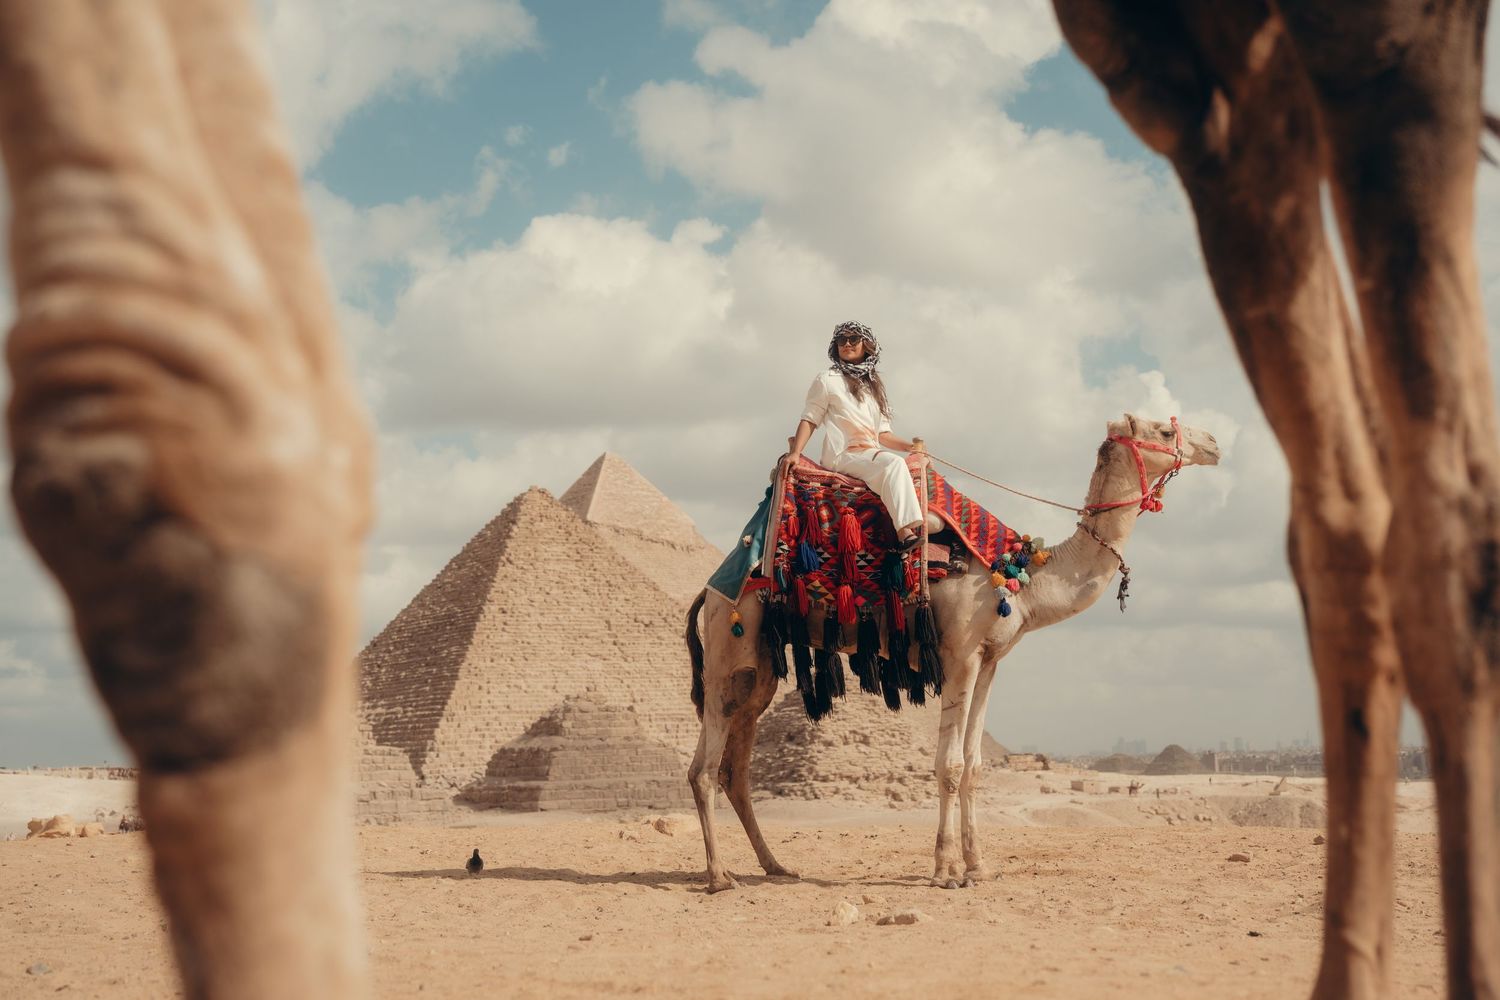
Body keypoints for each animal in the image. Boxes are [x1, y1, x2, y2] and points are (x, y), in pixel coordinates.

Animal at [686, 413, 1221, 892]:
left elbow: (974, 764)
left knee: (735, 768)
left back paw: (774, 866)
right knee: (705, 767)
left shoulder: (988, 662)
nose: (1214, 443)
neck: (1021, 578)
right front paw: (945, 871)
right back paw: (718, 876)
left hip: (758, 671)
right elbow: (950, 765)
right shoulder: (959, 656)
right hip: (728, 646)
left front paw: (978, 866)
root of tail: (709, 589)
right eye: (1165, 431)